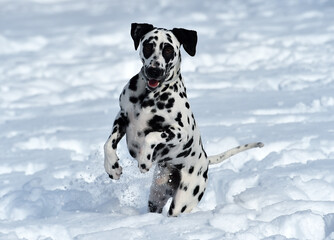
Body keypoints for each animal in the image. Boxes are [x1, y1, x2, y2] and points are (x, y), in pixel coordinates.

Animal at [103, 23, 264, 217]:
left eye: (168, 50)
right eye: (148, 46)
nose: (154, 70)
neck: (148, 96)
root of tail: (206, 159)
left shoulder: (180, 132)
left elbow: (151, 136)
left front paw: (144, 160)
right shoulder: (122, 117)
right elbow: (108, 144)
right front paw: (112, 167)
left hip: (183, 200)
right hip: (156, 196)